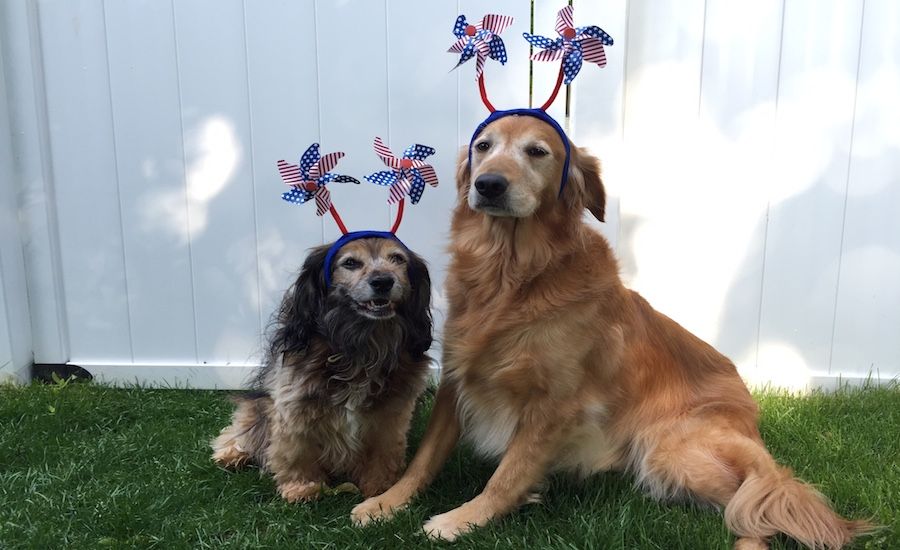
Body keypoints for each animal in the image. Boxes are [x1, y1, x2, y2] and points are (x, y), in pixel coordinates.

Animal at [214, 238, 432, 504]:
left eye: (397, 259)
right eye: (350, 262)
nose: (383, 281)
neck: (362, 347)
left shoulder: (391, 413)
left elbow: (384, 451)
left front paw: (381, 488)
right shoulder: (294, 407)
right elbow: (296, 450)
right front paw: (302, 486)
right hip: (261, 406)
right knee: (243, 428)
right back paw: (231, 453)